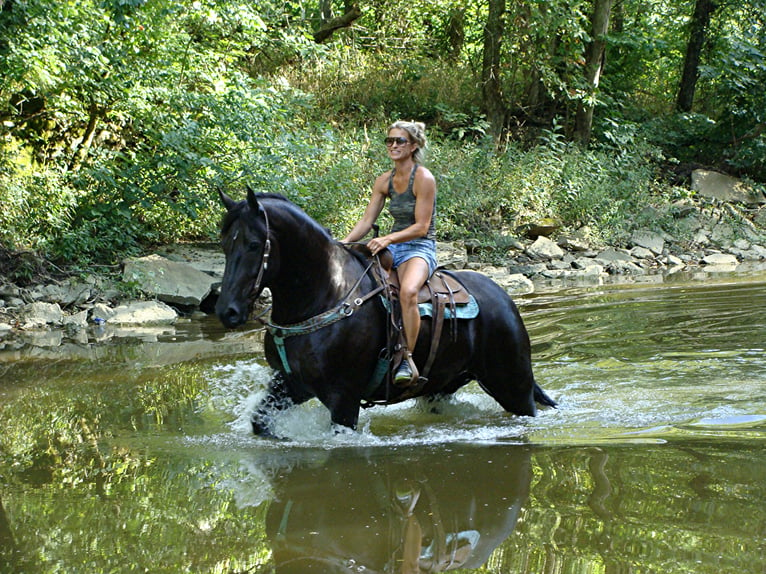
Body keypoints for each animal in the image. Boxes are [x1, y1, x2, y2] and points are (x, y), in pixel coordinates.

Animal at [216, 190, 560, 436]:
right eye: (224, 244)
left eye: (253, 244)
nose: (227, 311)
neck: (327, 293)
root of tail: (503, 299)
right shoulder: (290, 384)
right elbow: (261, 422)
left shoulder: (343, 398)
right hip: (441, 388)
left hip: (513, 386)